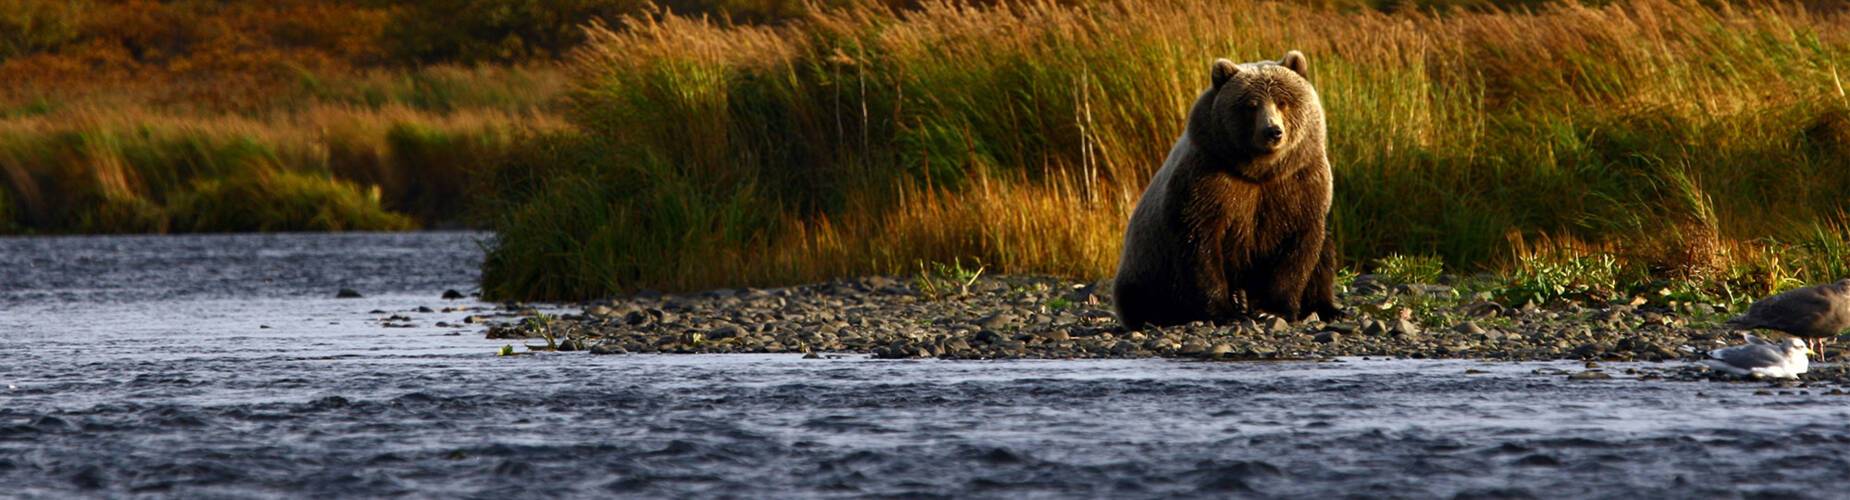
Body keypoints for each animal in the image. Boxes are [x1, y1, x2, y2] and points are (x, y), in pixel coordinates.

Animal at [1112, 50, 1340, 328]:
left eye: (1283, 101)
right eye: (1251, 105)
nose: (1272, 131)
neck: (1260, 171)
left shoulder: (1300, 182)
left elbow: (1299, 249)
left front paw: (1272, 309)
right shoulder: (1208, 180)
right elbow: (1201, 246)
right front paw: (1223, 311)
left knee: (1325, 256)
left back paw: (1325, 308)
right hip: (1146, 267)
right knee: (1142, 297)